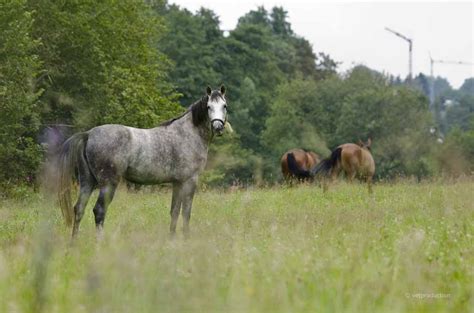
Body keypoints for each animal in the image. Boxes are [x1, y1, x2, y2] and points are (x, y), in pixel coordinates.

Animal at [58, 85, 229, 236]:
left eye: (224, 106)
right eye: (208, 107)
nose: (218, 127)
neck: (187, 134)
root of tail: (88, 134)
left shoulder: (177, 182)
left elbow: (174, 212)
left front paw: (172, 239)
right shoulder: (190, 180)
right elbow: (186, 213)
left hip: (87, 181)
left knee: (79, 209)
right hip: (108, 183)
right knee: (99, 211)